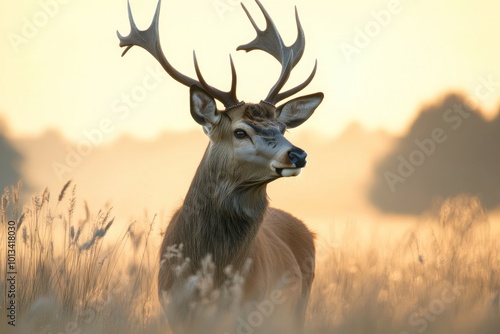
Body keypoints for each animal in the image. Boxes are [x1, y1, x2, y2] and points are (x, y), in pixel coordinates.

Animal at [117, 0, 324, 332]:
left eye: (282, 128)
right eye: (240, 131)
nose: (298, 155)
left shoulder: (253, 311)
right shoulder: (173, 309)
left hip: (297, 307)